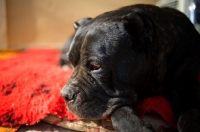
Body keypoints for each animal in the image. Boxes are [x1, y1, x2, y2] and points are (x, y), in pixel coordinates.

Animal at [60, 4, 200, 132]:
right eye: (72, 62)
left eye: (96, 66)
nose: (65, 94)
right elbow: (121, 113)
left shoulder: (185, 85)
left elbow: (190, 113)